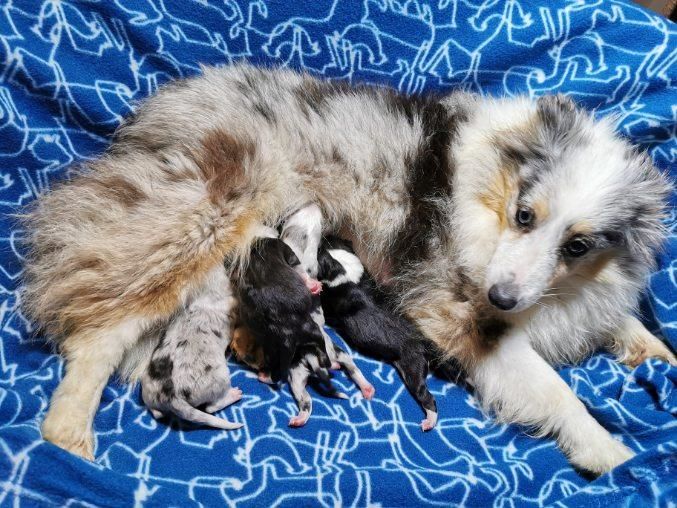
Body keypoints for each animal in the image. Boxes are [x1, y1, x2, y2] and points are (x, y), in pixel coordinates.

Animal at [139, 266, 242, 428]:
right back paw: (234, 394)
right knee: (212, 407)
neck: (206, 295)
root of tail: (173, 398)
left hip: (147, 391)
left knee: (156, 413)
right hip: (220, 378)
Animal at [318, 237, 438, 428]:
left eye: (318, 248)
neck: (344, 267)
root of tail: (423, 342)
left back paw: (429, 421)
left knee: (427, 397)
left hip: (413, 367)